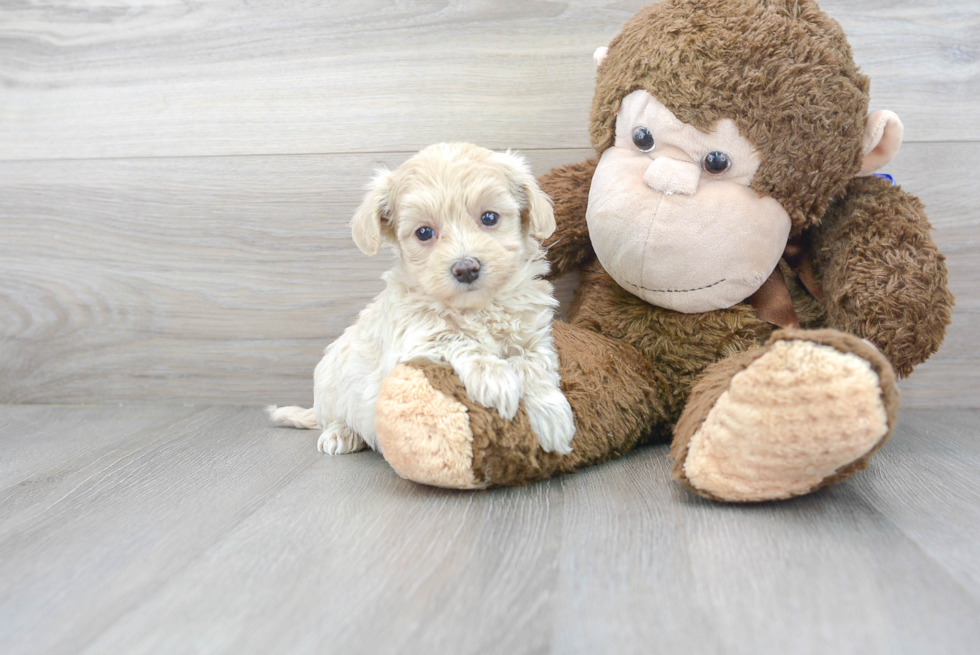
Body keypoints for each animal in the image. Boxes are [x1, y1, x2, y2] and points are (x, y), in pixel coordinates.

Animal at [268, 142, 576, 456]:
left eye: (489, 217)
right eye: (424, 232)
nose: (466, 268)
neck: (476, 307)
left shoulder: (534, 337)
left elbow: (533, 365)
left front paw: (552, 416)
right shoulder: (413, 340)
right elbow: (457, 339)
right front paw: (495, 378)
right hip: (329, 385)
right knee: (334, 417)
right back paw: (341, 433)